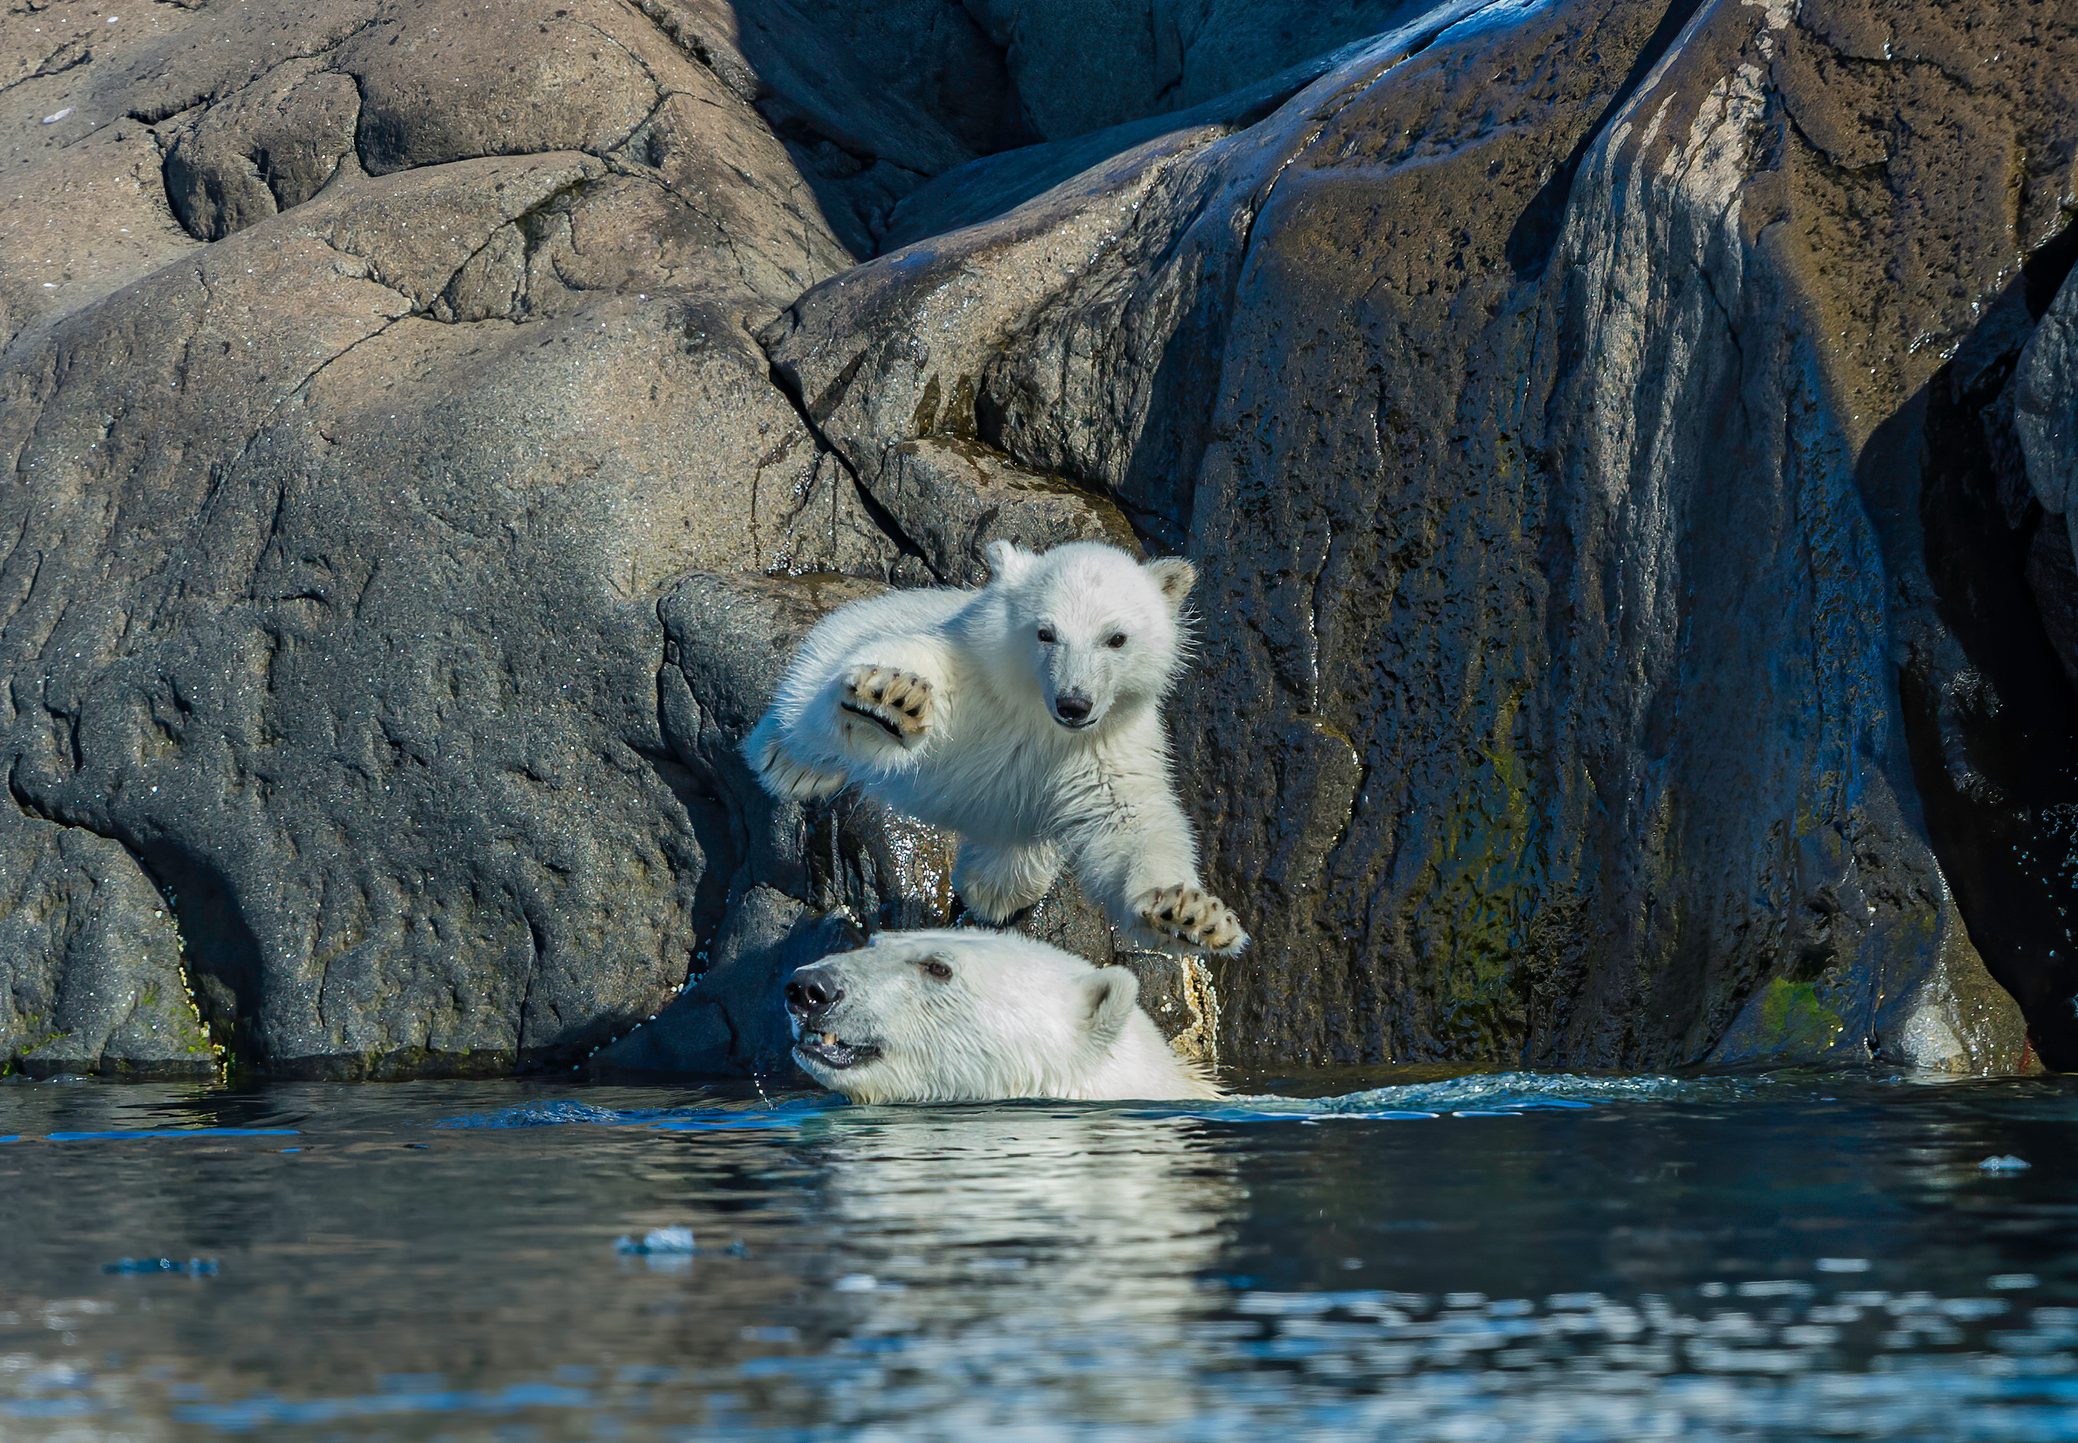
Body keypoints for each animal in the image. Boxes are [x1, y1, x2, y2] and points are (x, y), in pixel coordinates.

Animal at [743, 539, 1248, 955]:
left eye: (1116, 638)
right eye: (1045, 632)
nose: (1074, 703)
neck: (1036, 716)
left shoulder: (1104, 749)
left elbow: (1130, 823)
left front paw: (1189, 916)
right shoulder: (973, 676)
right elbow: (919, 665)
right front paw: (892, 699)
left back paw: (995, 890)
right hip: (837, 639)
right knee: (811, 708)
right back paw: (790, 761)